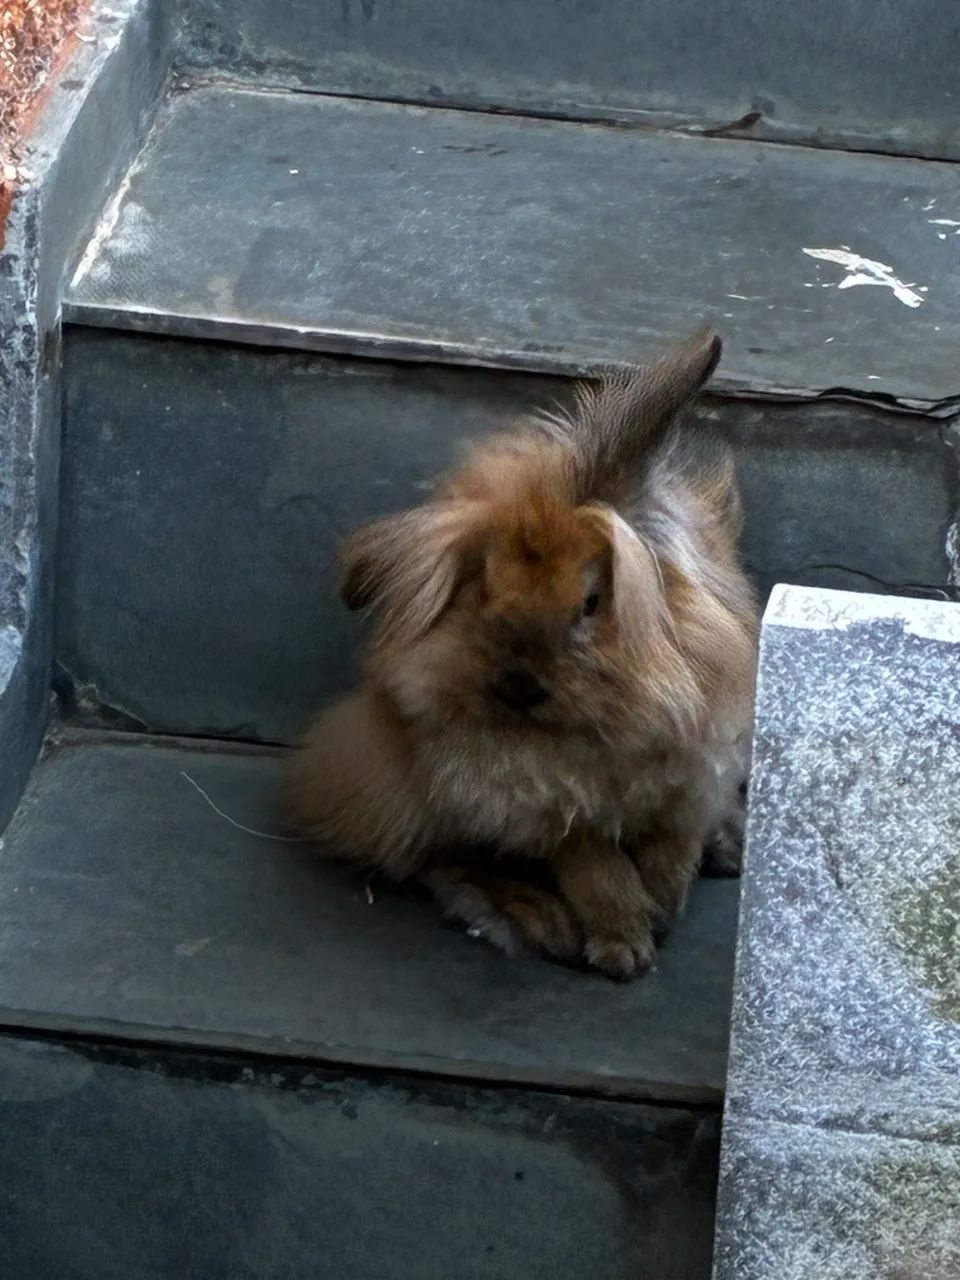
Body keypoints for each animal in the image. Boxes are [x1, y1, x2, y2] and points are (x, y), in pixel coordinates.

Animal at [291, 328, 758, 979]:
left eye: (592, 601)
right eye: (484, 585)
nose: (517, 683)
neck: (605, 730)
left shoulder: (696, 776)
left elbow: (671, 851)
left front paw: (664, 908)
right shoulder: (553, 811)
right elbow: (598, 875)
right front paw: (624, 949)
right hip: (408, 786)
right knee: (441, 862)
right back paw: (534, 916)